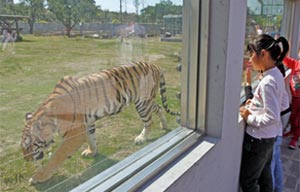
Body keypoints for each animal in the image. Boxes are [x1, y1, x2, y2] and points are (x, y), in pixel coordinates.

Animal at [21, 62, 180, 184]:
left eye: (29, 146)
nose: (26, 160)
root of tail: (154, 65)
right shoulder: (87, 123)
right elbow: (91, 138)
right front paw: (92, 152)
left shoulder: (74, 133)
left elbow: (57, 156)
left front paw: (38, 177)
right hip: (146, 101)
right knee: (159, 108)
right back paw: (164, 125)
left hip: (142, 103)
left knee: (149, 122)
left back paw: (142, 138)